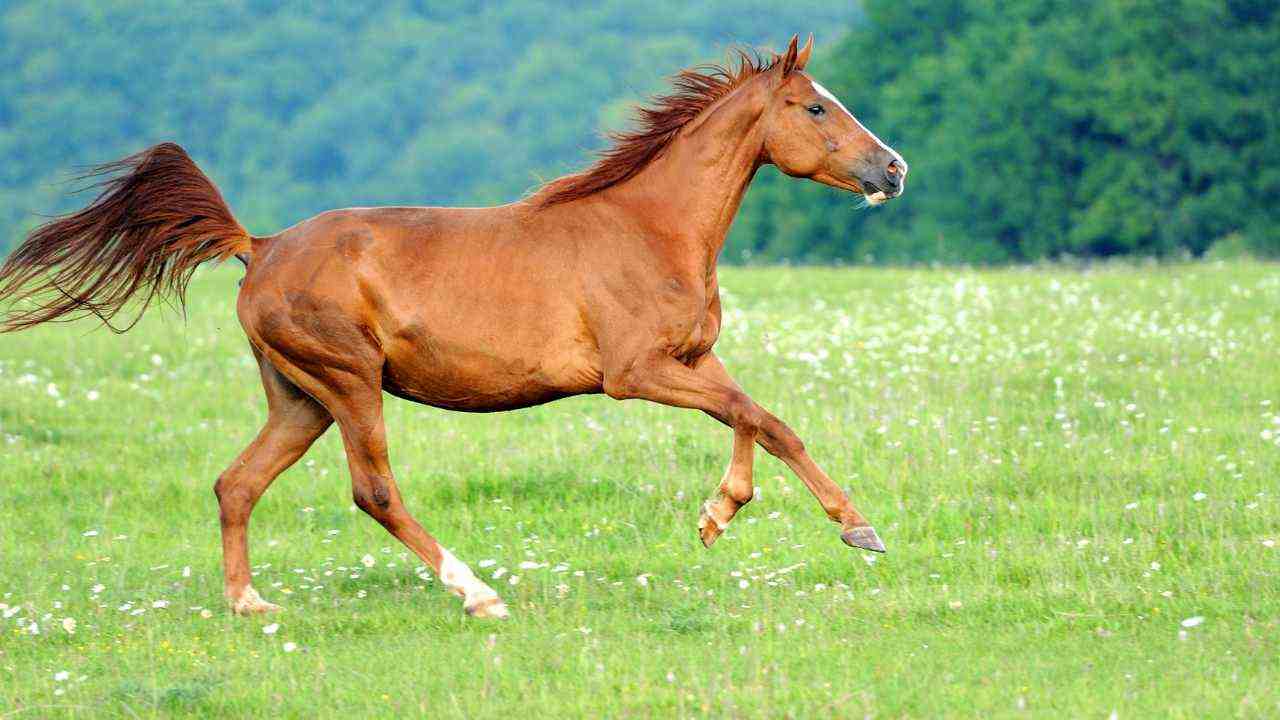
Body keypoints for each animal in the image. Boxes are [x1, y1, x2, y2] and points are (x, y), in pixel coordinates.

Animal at [0, 35, 906, 617]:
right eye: (814, 108)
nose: (892, 168)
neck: (649, 227)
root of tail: (258, 247)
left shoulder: (694, 360)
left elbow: (765, 421)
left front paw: (737, 515)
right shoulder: (635, 374)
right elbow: (757, 414)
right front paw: (849, 528)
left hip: (299, 398)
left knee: (237, 483)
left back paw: (249, 604)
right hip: (349, 383)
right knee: (373, 492)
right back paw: (477, 594)